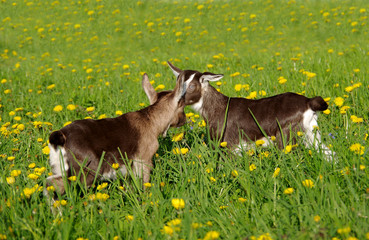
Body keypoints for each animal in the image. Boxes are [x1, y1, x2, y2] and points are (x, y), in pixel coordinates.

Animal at [45, 73, 187, 199]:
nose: (185, 120)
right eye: (182, 106)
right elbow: (144, 184)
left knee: (50, 185)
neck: (152, 121)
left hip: (60, 167)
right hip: (86, 168)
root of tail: (60, 137)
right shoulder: (143, 159)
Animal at [168, 61, 334, 160]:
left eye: (192, 86)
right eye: (177, 83)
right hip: (311, 133)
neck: (218, 108)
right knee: (328, 153)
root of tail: (309, 102)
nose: (176, 100)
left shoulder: (228, 144)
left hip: (286, 135)